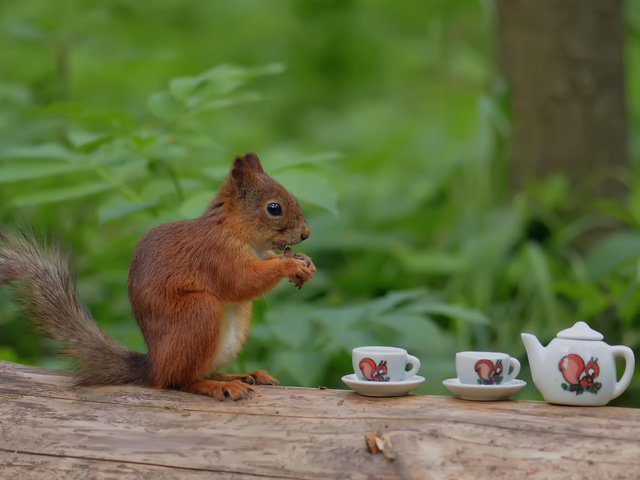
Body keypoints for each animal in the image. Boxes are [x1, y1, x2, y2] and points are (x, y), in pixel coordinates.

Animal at [0, 152, 316, 400]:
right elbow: (240, 282)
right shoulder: (215, 256)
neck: (236, 230)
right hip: (199, 312)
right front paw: (289, 266)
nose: (306, 234)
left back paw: (239, 375)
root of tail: (154, 366)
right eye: (274, 208)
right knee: (178, 380)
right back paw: (219, 386)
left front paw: (305, 262)